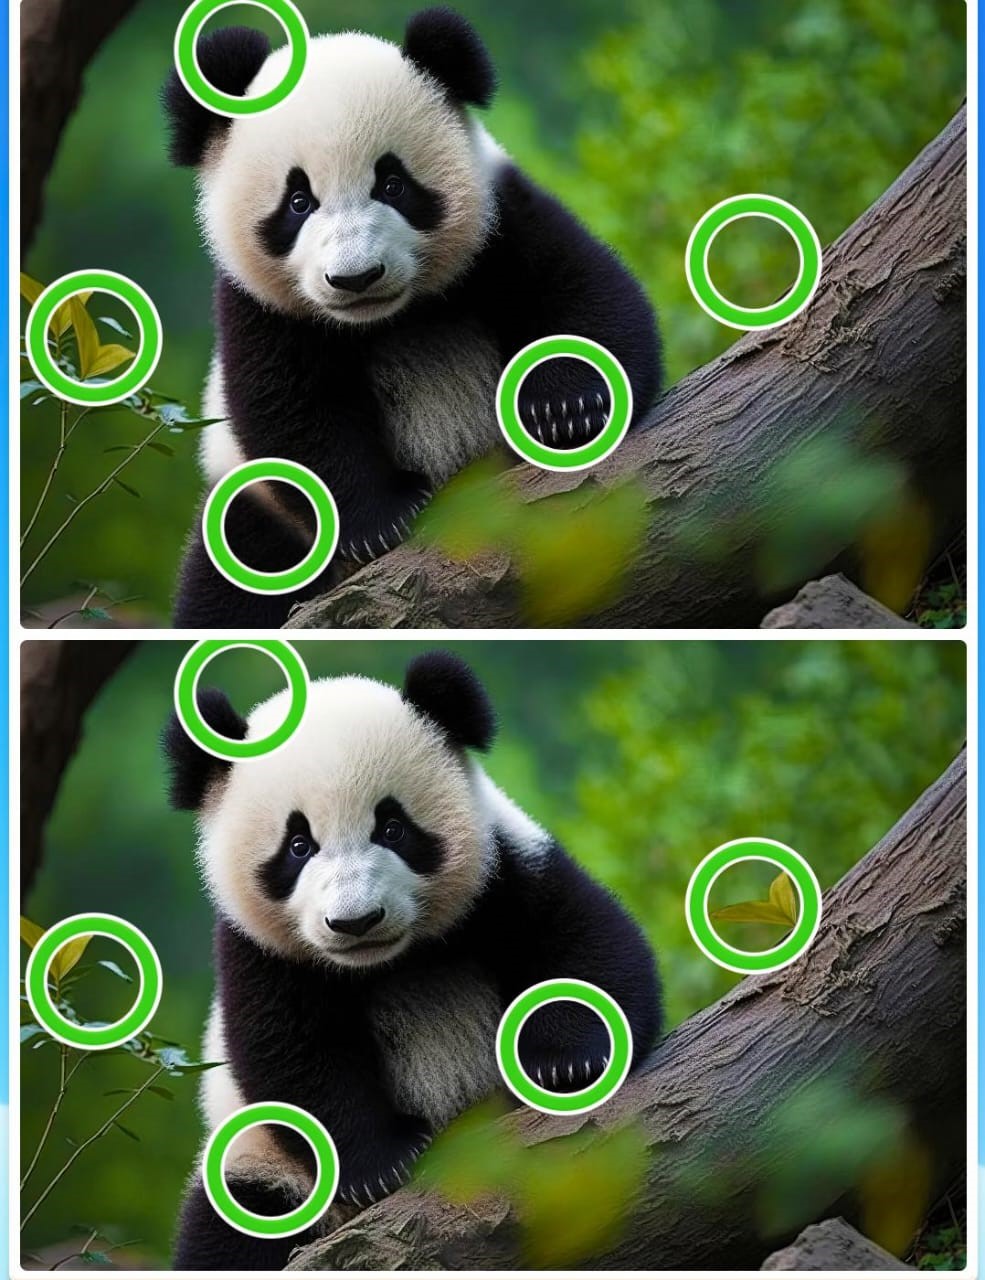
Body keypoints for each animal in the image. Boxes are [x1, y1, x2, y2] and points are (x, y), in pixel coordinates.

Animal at [162, 7, 662, 629]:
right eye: (298, 202)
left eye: (393, 184)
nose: (356, 278)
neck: (390, 319)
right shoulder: (260, 307)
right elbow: (292, 409)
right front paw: (382, 521)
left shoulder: (500, 225)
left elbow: (585, 294)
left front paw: (567, 410)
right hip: (252, 515)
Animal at [163, 651, 661, 1270]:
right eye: (298, 846)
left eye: (393, 828)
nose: (356, 921)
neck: (391, 963)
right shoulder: (260, 952)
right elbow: (292, 1052)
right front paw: (383, 1164)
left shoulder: (503, 873)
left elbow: (583, 942)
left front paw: (567, 1063)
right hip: (257, 1163)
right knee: (231, 1227)